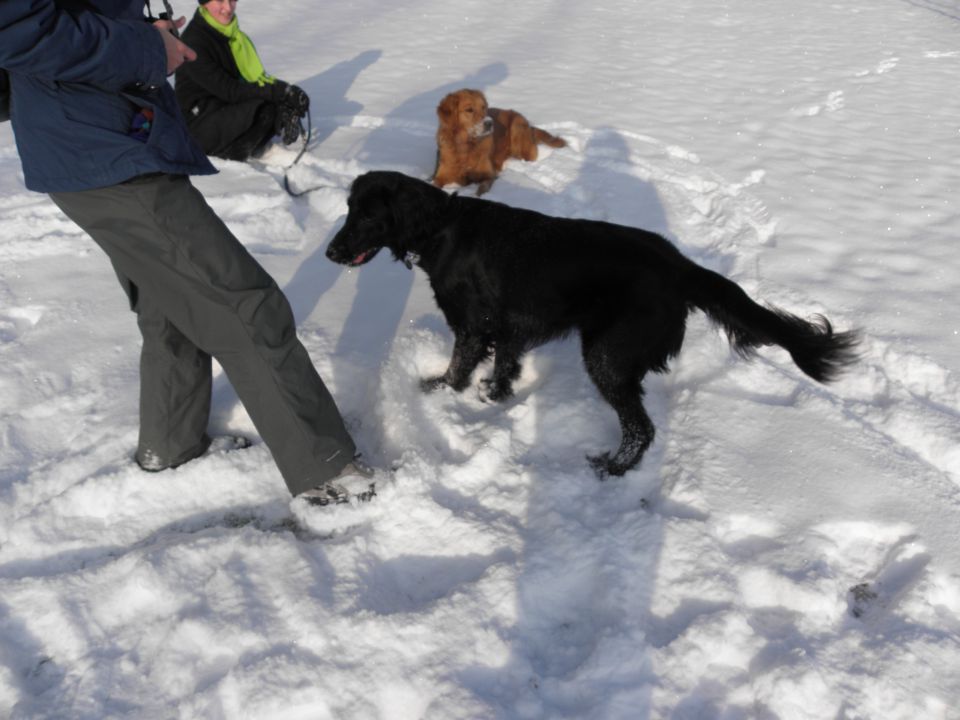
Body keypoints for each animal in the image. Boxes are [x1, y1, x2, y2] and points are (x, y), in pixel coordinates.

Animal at [326, 172, 860, 478]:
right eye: (348, 209)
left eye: (367, 216)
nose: (330, 252)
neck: (441, 228)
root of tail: (679, 266)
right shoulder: (509, 325)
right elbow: (504, 365)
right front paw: (493, 395)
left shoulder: (473, 325)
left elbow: (459, 365)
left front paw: (434, 393)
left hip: (606, 354)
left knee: (641, 428)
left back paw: (611, 468)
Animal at [432, 90, 568, 197]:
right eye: (469, 110)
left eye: (483, 107)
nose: (489, 123)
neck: (467, 145)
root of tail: (529, 126)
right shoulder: (441, 175)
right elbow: (434, 183)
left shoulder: (488, 175)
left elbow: (481, 188)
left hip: (517, 126)